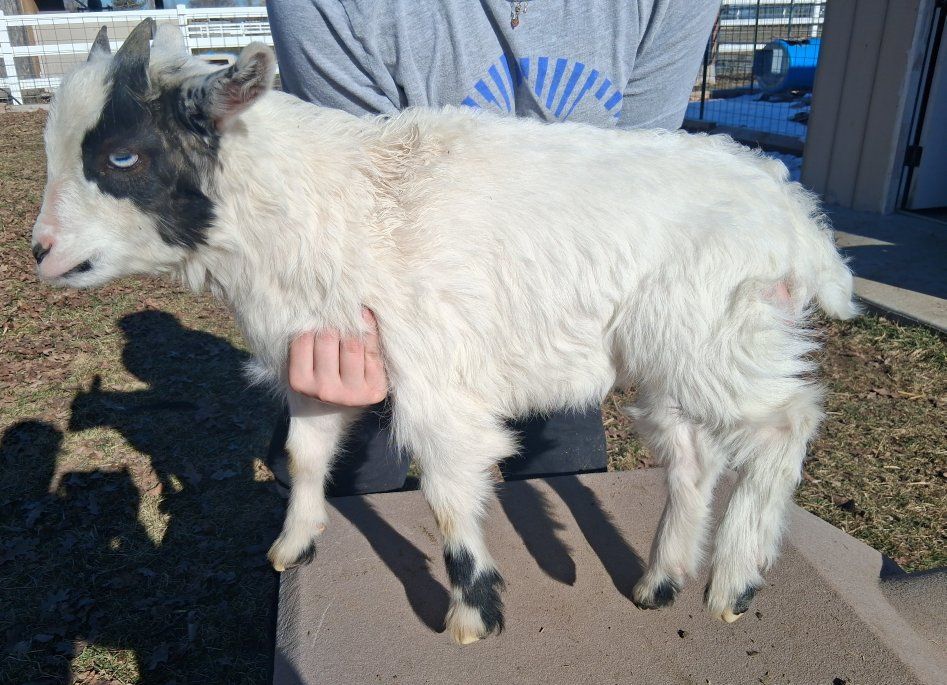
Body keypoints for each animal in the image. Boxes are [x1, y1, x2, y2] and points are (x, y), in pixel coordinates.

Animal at [32, 19, 857, 644]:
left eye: (122, 155)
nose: (41, 252)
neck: (320, 202)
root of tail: (791, 211)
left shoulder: (436, 371)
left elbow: (447, 492)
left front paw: (473, 613)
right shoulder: (324, 347)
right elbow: (305, 454)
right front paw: (294, 542)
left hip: (716, 333)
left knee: (784, 421)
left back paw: (735, 579)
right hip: (671, 354)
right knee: (691, 455)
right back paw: (660, 579)